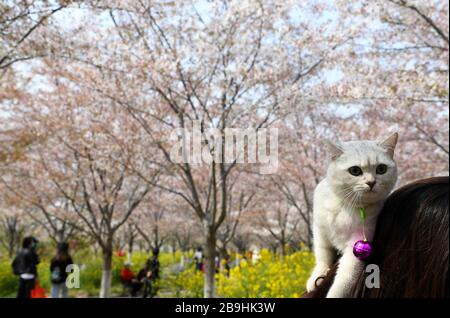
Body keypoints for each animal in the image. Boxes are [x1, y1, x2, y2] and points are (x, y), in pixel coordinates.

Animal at [306, 132, 398, 298]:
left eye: (381, 169)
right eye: (355, 171)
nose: (371, 182)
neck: (346, 206)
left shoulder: (356, 245)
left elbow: (344, 281)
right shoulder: (319, 230)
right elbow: (323, 255)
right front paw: (317, 276)